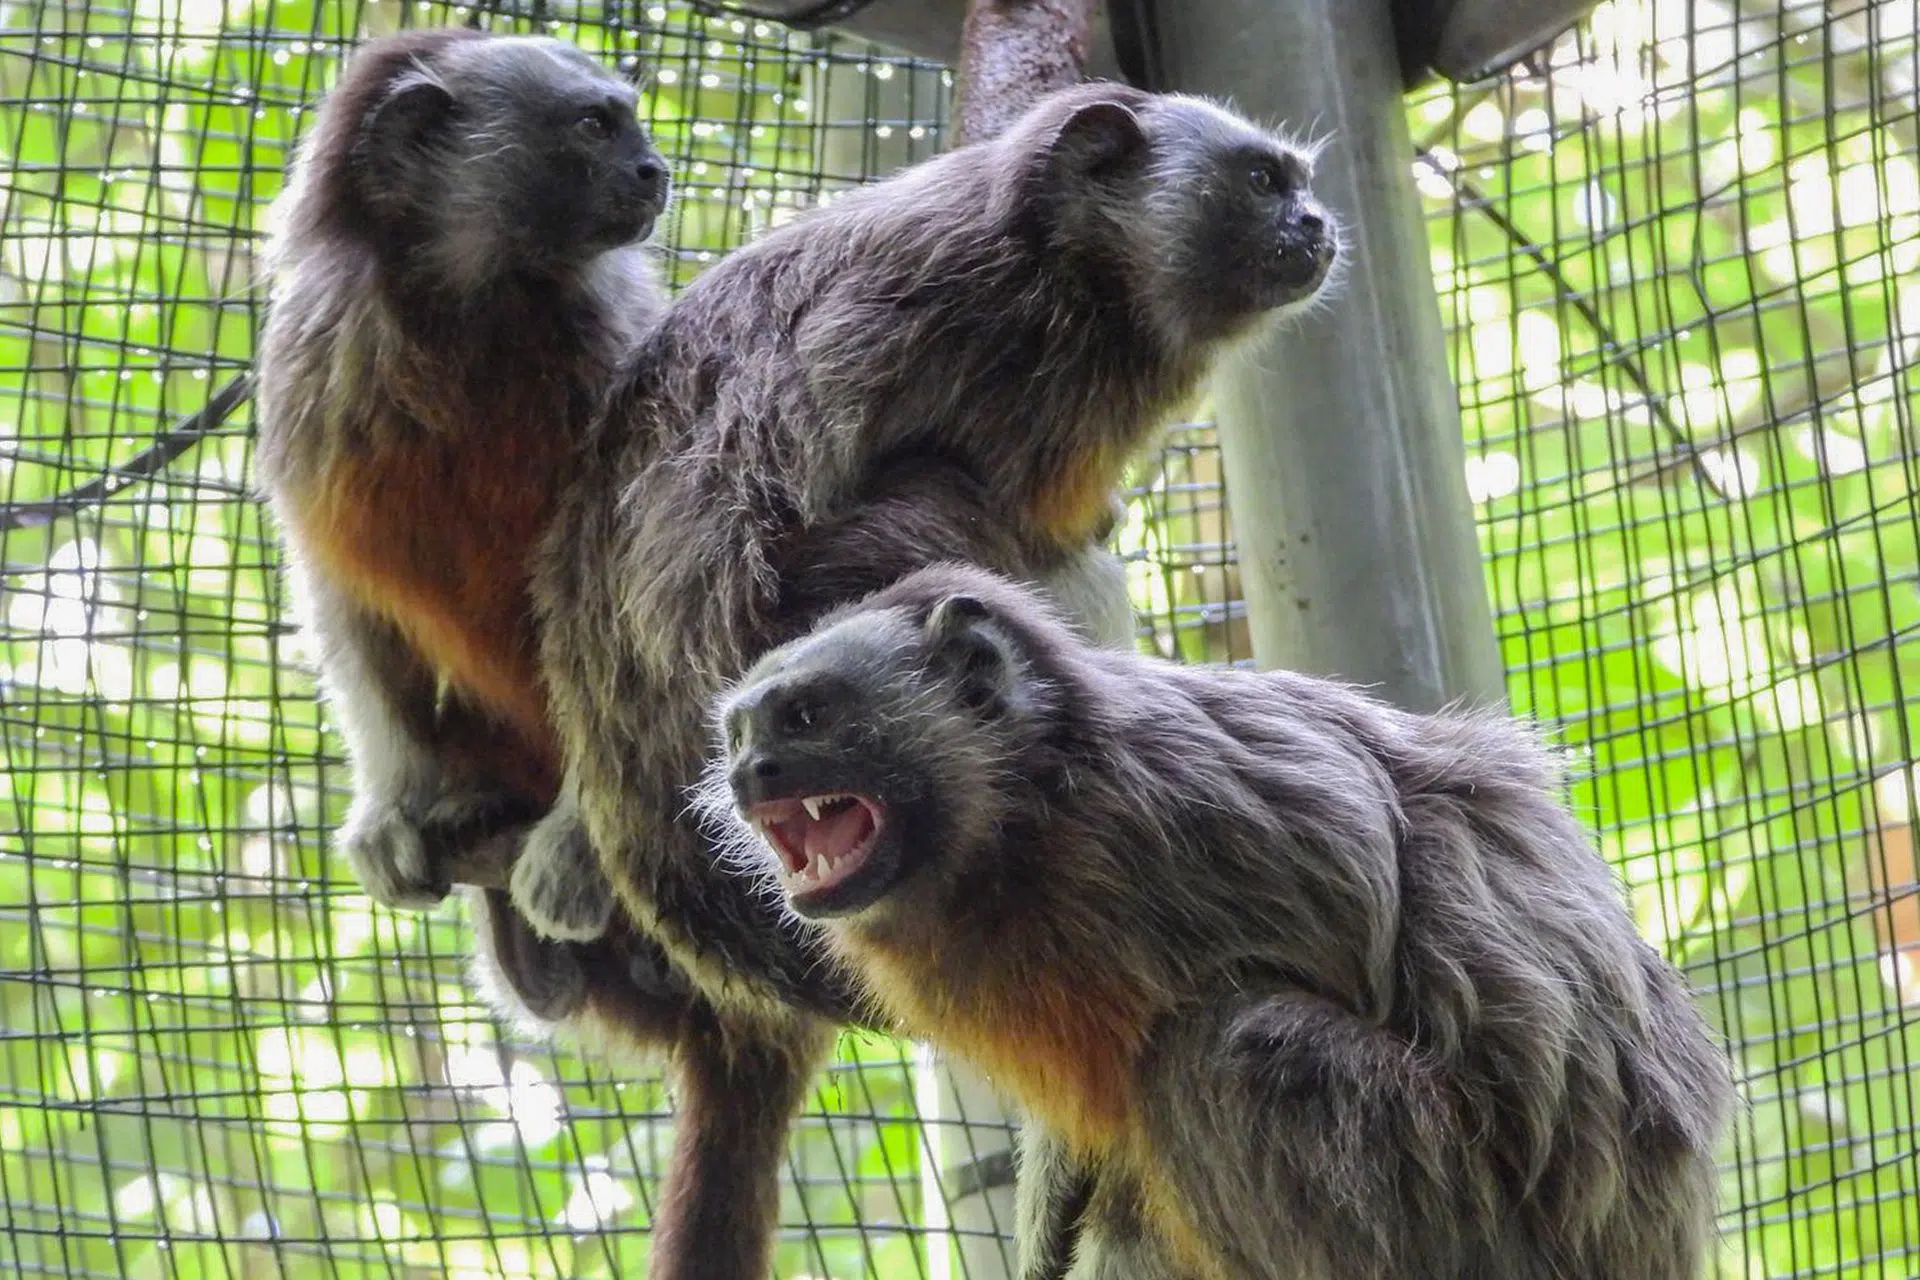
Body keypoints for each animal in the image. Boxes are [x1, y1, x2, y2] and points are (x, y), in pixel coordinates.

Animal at [697, 562, 1735, 1280]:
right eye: (742, 734)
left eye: (808, 715)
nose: (751, 775)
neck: (1030, 819)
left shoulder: (1195, 819)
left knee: (1231, 1049)